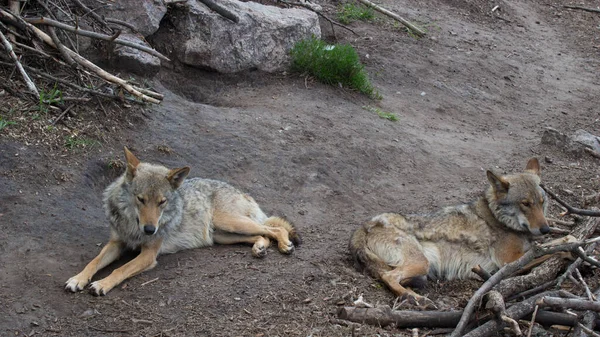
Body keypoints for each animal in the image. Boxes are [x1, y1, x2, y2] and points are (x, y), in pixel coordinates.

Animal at [65, 147, 300, 294]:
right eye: (141, 199)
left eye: (162, 202)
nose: (150, 230)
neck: (134, 226)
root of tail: (242, 191)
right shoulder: (116, 243)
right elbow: (93, 262)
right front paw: (78, 279)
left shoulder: (148, 255)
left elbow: (119, 270)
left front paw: (101, 284)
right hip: (223, 236)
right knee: (263, 234)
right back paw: (259, 248)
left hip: (231, 224)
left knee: (274, 229)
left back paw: (285, 245)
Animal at [352, 156, 556, 306]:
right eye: (525, 204)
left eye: (541, 202)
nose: (546, 229)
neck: (498, 218)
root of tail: (364, 226)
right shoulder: (510, 261)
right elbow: (549, 251)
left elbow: (547, 246)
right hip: (421, 262)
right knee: (389, 277)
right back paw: (416, 299)